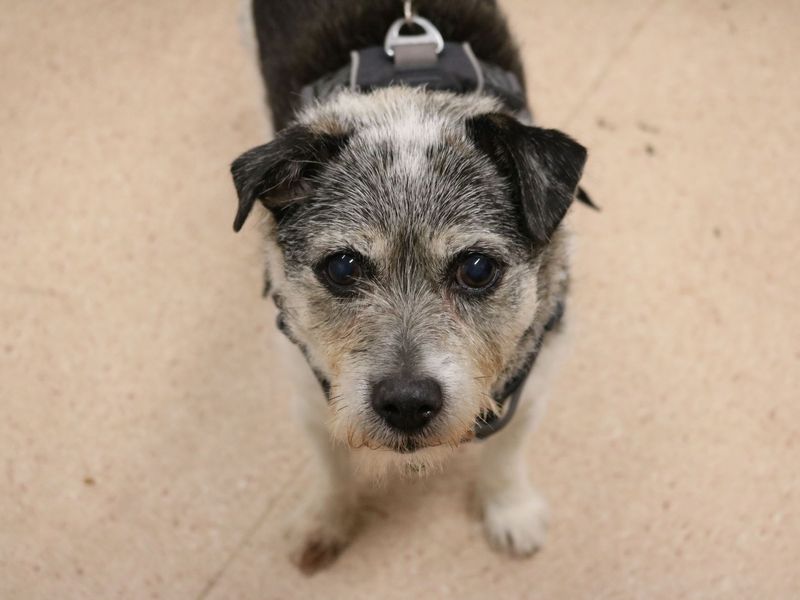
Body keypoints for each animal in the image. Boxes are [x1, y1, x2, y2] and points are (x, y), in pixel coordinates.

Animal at [228, 0, 592, 572]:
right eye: (343, 267)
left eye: (477, 268)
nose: (406, 403)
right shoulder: (312, 399)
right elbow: (332, 468)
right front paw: (324, 519)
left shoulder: (531, 387)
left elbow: (505, 455)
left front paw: (510, 512)